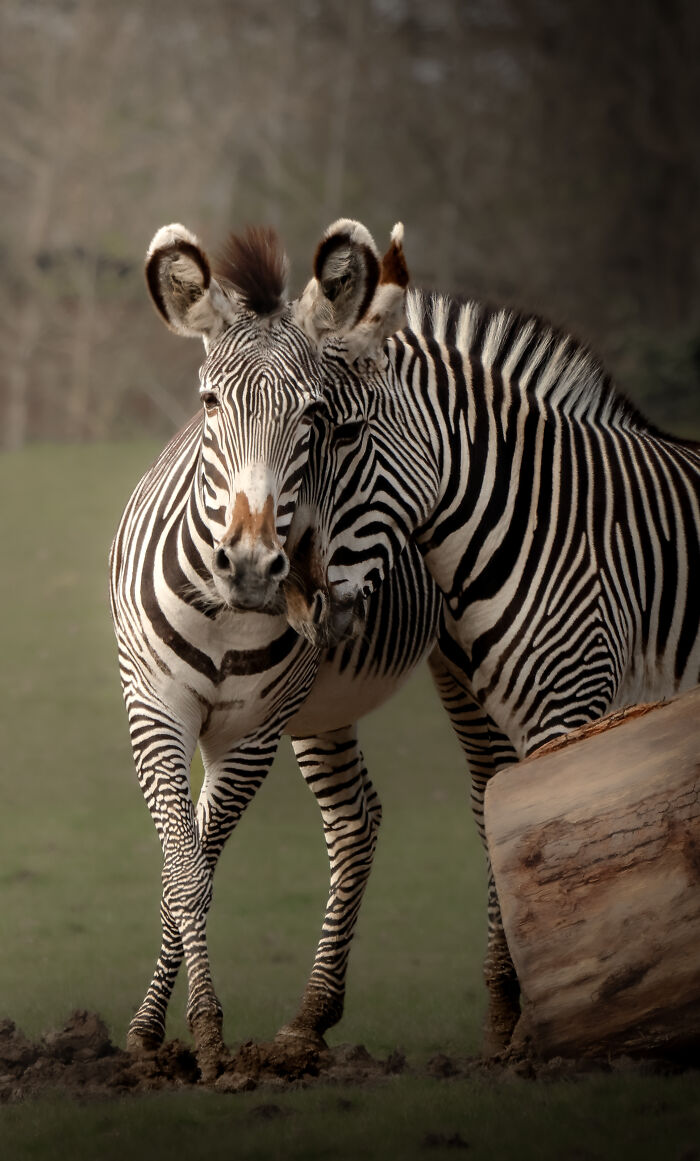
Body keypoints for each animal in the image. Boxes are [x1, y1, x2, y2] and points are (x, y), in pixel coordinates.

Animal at [109, 222, 440, 1079]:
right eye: (209, 402)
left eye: (314, 416)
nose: (257, 567)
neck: (227, 615)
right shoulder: (155, 708)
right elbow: (182, 870)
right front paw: (153, 1033)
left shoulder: (252, 732)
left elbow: (195, 869)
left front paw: (208, 1038)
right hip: (323, 708)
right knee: (358, 818)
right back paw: (310, 1020)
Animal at [286, 217, 700, 1052]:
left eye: (343, 433)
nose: (298, 600)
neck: (536, 520)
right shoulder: (497, 705)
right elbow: (501, 821)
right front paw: (517, 1016)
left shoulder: (573, 710)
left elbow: (560, 836)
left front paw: (552, 1026)